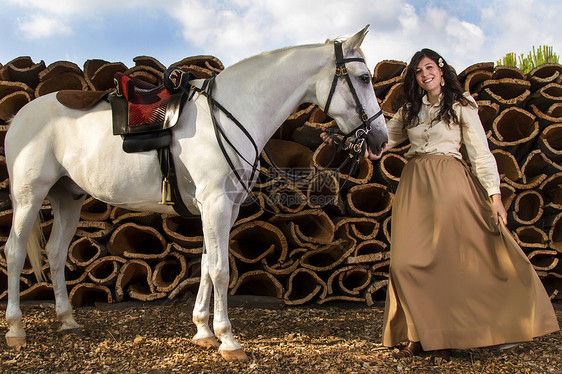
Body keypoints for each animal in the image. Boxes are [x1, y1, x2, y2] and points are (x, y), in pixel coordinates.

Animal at [3, 25, 384, 360]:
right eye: (364, 78)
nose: (380, 138)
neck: (233, 111)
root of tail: (22, 115)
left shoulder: (222, 207)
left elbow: (204, 264)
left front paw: (203, 331)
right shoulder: (215, 204)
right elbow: (220, 270)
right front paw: (228, 340)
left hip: (67, 197)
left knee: (55, 253)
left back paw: (67, 320)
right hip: (28, 196)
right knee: (15, 251)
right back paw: (16, 329)